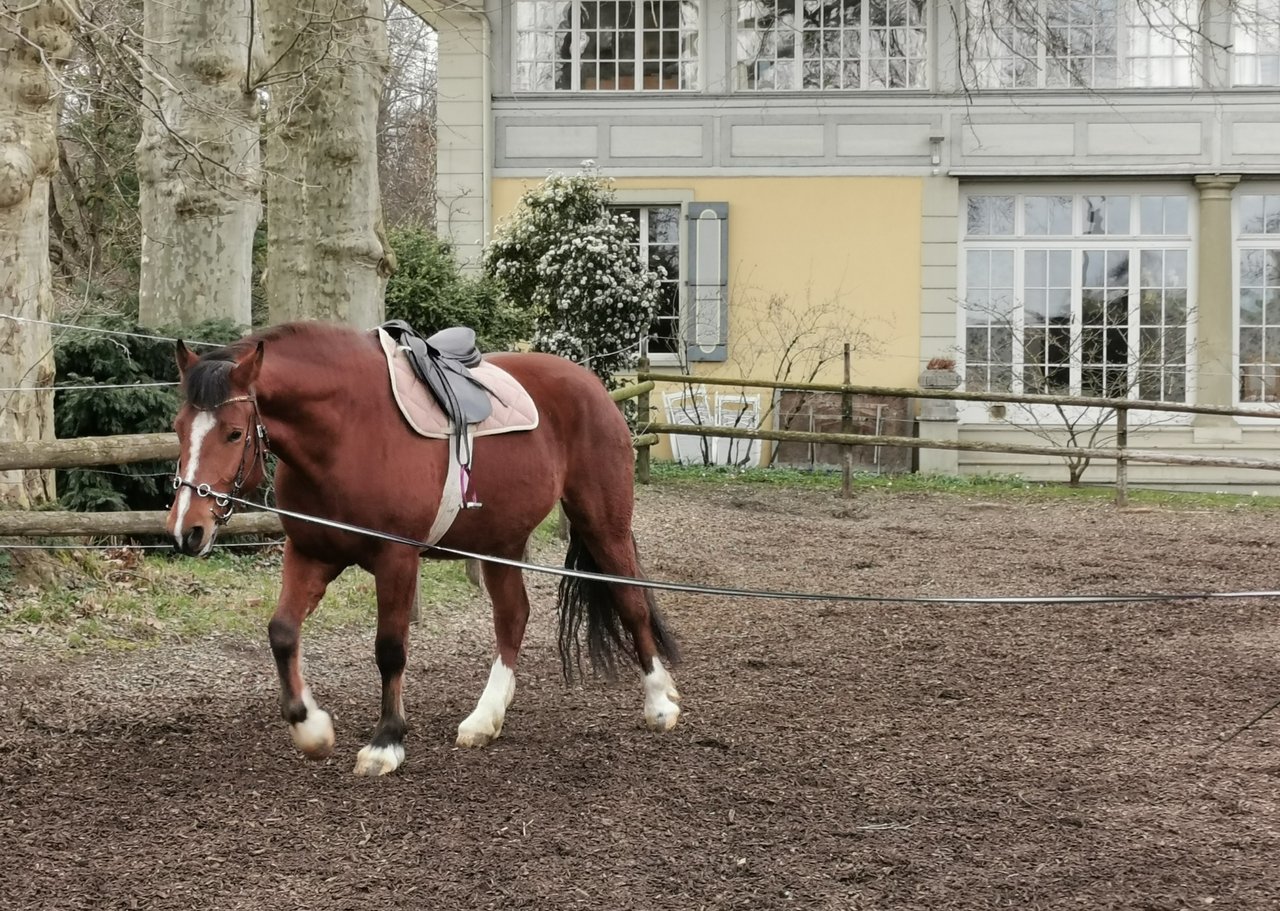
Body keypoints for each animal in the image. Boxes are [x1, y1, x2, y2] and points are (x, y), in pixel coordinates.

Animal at [166, 319, 686, 777]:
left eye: (234, 432)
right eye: (177, 427)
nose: (187, 529)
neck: (345, 431)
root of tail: (592, 385)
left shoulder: (396, 559)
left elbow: (390, 649)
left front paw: (386, 742)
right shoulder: (311, 553)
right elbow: (282, 633)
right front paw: (311, 729)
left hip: (603, 523)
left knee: (631, 601)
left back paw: (659, 702)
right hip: (501, 539)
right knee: (513, 616)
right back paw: (485, 719)